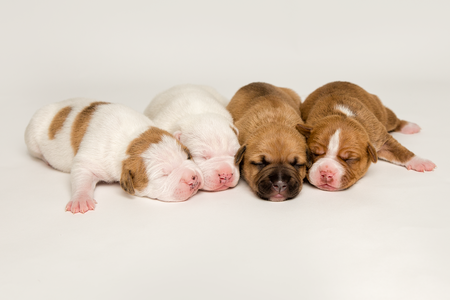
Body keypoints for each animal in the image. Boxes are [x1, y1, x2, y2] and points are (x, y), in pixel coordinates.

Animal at [22, 98, 202, 213]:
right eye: (164, 174)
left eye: (188, 157)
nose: (192, 177)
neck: (131, 139)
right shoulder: (88, 159)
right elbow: (81, 175)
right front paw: (81, 199)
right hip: (32, 136)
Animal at [298, 81, 438, 191]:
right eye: (314, 153)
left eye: (350, 159)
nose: (326, 173)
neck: (342, 115)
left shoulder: (382, 139)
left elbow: (400, 152)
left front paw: (420, 161)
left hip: (384, 114)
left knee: (395, 120)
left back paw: (409, 126)